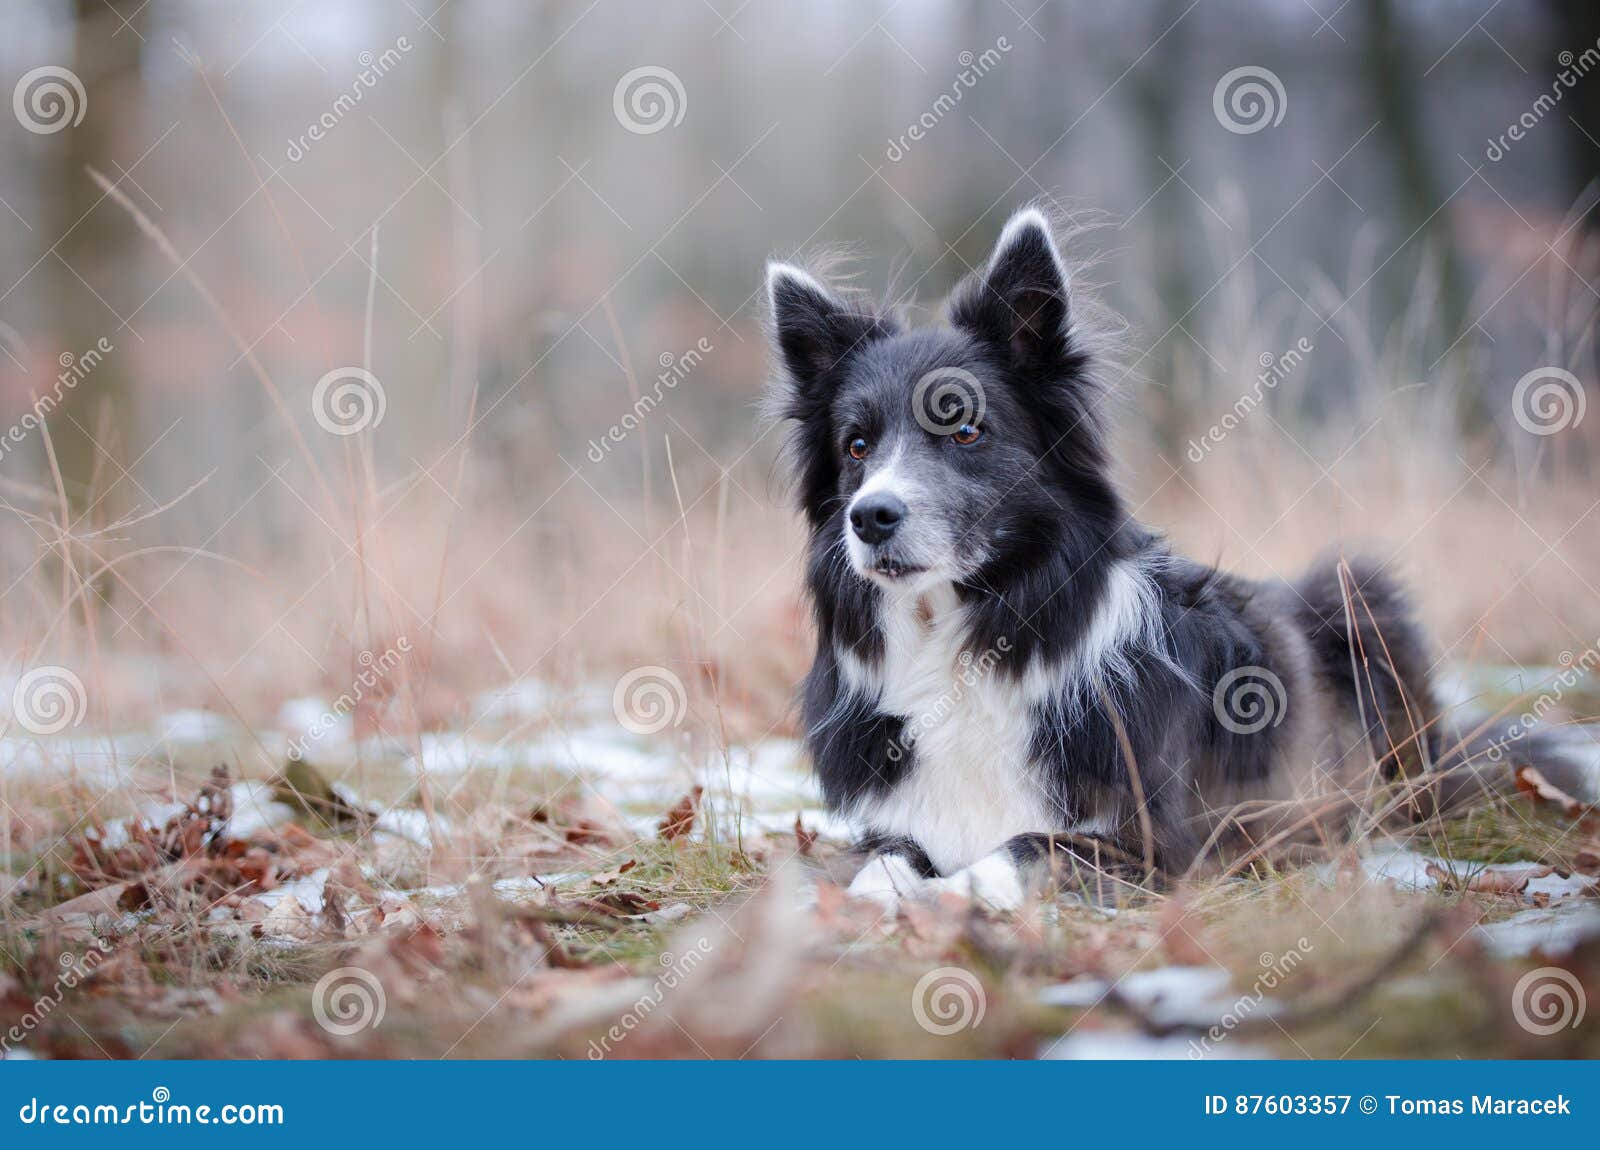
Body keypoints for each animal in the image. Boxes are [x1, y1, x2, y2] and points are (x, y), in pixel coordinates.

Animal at [764, 206, 1600, 908]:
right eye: (857, 447)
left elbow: (1029, 844)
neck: (974, 633)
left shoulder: (1163, 847)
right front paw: (871, 899)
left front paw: (958, 893)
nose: (871, 518)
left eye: (964, 428)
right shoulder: (899, 822)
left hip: (1360, 597)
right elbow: (887, 858)